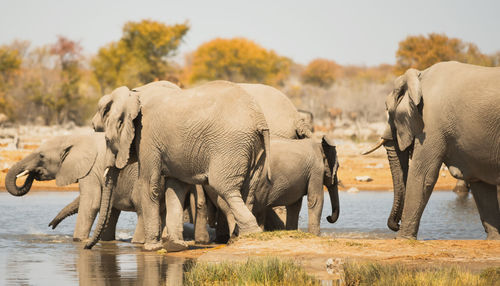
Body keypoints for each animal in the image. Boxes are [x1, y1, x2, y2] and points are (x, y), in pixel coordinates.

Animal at [87, 80, 272, 250]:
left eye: (107, 140)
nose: (87, 246)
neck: (133, 96)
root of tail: (259, 120)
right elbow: (175, 188)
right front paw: (176, 245)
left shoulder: (146, 137)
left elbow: (149, 185)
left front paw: (151, 247)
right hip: (255, 149)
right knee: (248, 189)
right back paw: (237, 236)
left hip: (230, 145)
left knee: (224, 187)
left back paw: (251, 232)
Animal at [364, 61, 500, 240]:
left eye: (387, 109)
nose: (395, 225)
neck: (419, 77)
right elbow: (479, 182)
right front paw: (493, 239)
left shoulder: (431, 123)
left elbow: (423, 175)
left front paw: (402, 238)